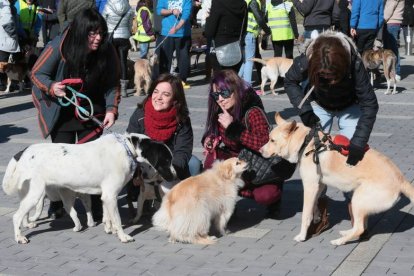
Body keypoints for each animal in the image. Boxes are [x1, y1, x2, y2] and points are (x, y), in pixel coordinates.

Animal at [260, 112, 414, 246]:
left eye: (272, 140)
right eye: (268, 138)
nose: (260, 151)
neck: (307, 143)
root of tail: (401, 179)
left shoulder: (310, 185)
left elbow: (306, 215)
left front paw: (302, 236)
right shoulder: (319, 185)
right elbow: (315, 204)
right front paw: (317, 216)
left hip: (358, 200)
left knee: (360, 228)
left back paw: (339, 241)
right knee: (360, 225)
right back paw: (346, 233)